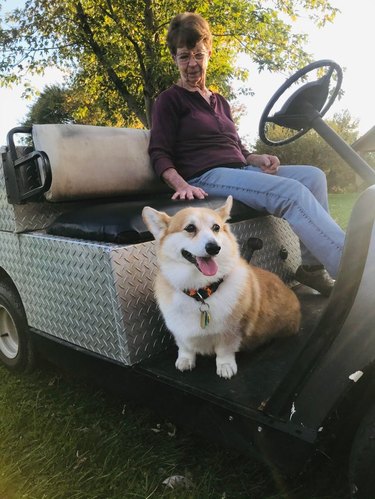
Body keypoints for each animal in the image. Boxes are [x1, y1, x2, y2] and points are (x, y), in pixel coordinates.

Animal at [142, 195, 302, 378]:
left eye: (216, 227)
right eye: (190, 228)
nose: (214, 248)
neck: (201, 290)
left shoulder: (231, 331)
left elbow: (224, 351)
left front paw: (225, 366)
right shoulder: (179, 331)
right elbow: (184, 347)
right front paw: (185, 360)